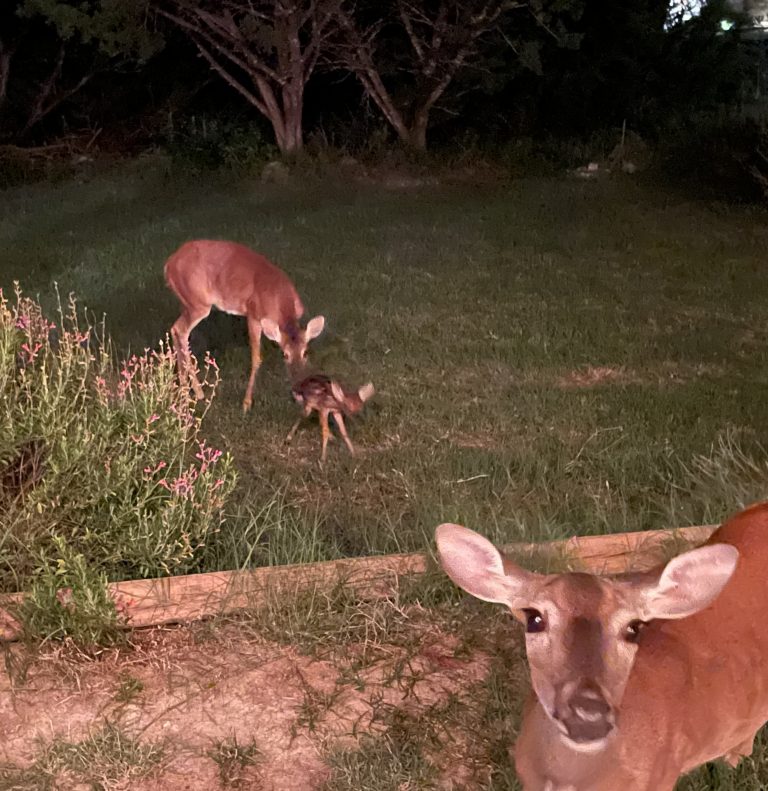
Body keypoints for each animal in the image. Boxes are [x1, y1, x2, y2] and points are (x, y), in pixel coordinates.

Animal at [164, 240, 325, 412]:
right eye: (285, 355)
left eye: (305, 353)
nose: (299, 389)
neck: (280, 299)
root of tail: (169, 264)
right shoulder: (253, 315)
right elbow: (256, 358)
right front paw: (246, 403)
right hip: (198, 303)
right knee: (180, 330)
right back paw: (194, 393)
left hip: (186, 303)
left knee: (176, 329)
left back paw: (186, 389)